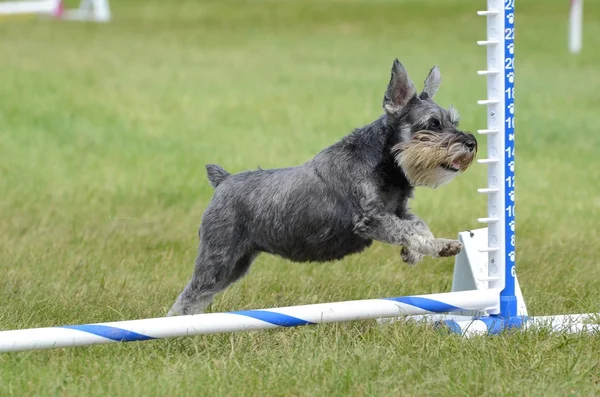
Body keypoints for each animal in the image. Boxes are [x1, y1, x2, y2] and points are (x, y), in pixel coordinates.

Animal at [168, 58, 478, 316]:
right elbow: (408, 229)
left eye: (453, 121)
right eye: (433, 124)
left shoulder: (398, 210)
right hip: (218, 257)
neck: (387, 163)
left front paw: (419, 250)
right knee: (188, 297)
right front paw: (438, 246)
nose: (471, 143)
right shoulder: (370, 219)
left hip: (236, 263)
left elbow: (418, 224)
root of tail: (223, 180)